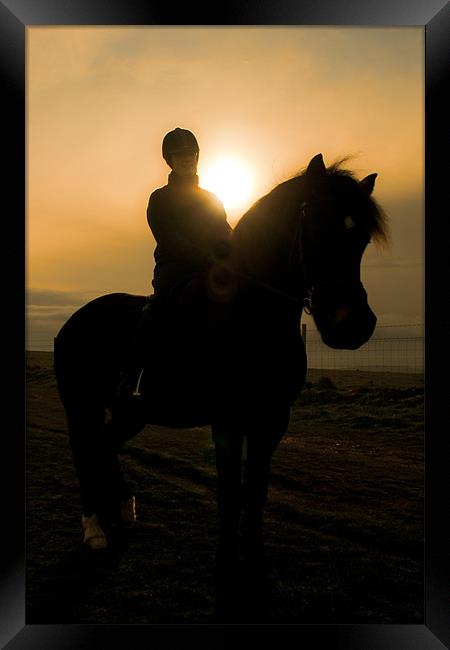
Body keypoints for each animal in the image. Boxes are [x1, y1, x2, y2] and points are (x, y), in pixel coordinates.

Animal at [54, 152, 388, 616]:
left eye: (361, 238)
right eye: (315, 222)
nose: (351, 324)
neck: (250, 314)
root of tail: (75, 320)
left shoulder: (272, 422)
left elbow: (255, 492)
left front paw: (257, 564)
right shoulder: (228, 422)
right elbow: (230, 494)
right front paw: (228, 569)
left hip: (129, 411)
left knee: (104, 445)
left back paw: (121, 509)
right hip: (80, 403)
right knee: (87, 450)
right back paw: (94, 529)